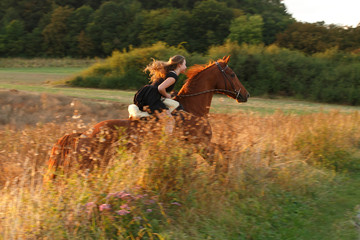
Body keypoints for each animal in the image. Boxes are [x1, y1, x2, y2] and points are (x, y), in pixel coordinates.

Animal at [45, 56, 250, 179]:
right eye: (232, 74)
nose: (246, 95)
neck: (193, 109)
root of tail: (83, 134)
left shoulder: (200, 145)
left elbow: (223, 151)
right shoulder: (201, 144)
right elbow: (219, 158)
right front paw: (223, 178)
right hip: (89, 166)